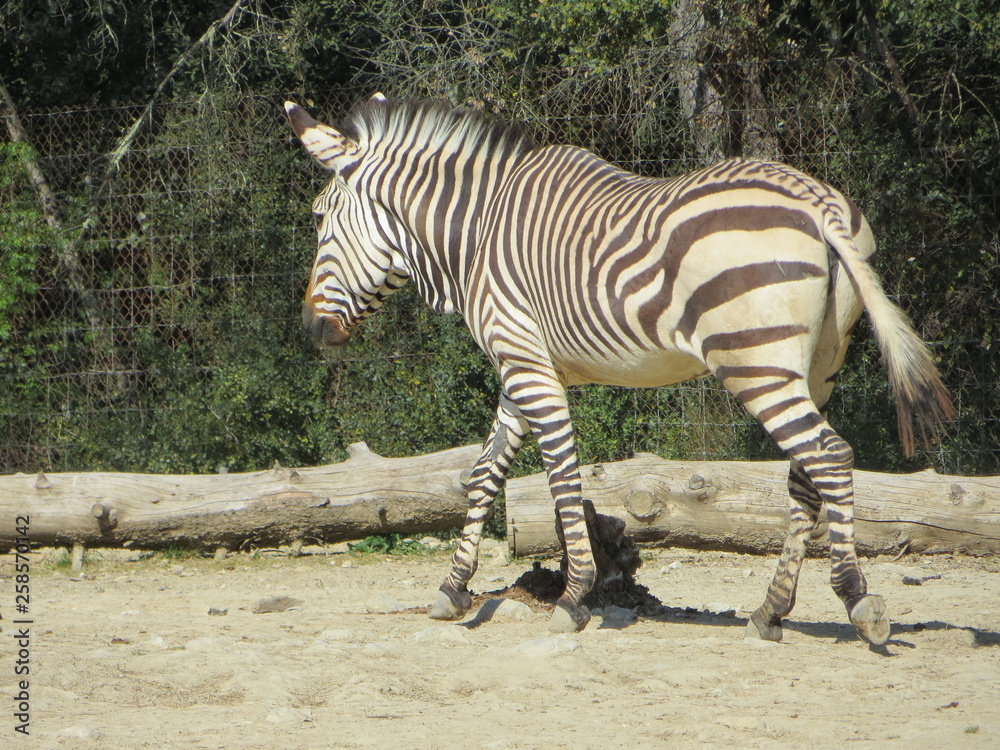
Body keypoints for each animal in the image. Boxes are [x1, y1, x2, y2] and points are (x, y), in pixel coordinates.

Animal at [288, 94, 952, 648]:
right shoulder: (525, 366)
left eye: (320, 219)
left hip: (754, 362)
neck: (476, 235)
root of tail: (821, 205)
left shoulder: (526, 364)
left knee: (831, 458)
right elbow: (482, 474)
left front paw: (574, 597)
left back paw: (857, 600)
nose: (312, 329)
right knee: (805, 478)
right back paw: (770, 612)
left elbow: (561, 479)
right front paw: (453, 590)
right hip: (818, 368)